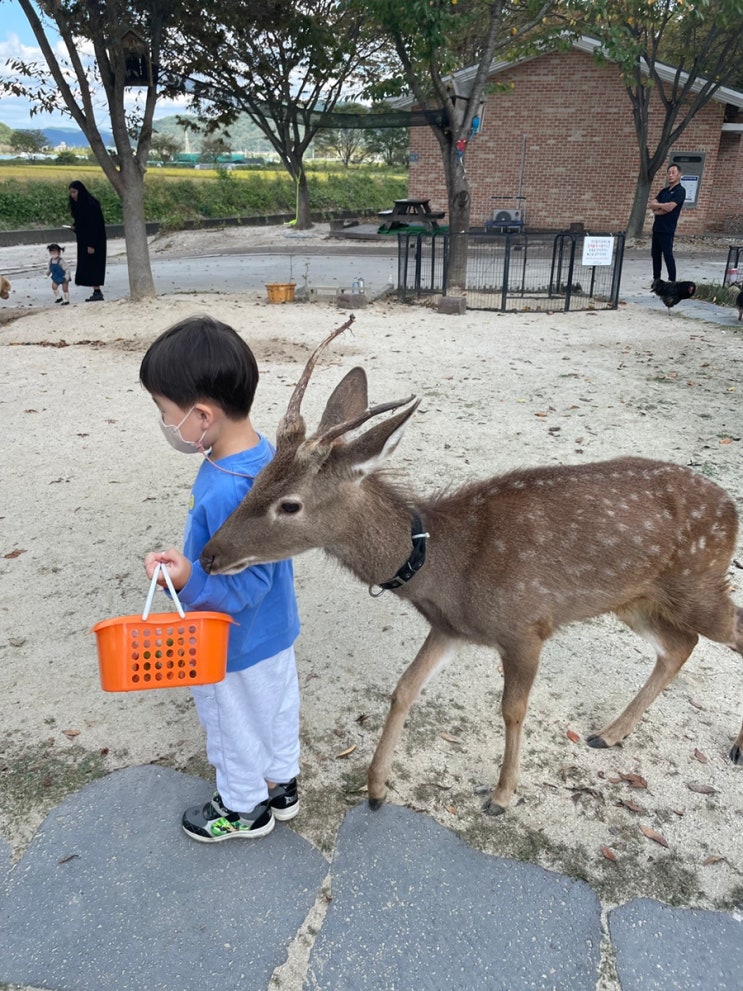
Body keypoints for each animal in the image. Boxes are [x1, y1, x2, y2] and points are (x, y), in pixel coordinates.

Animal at [199, 322, 743, 816]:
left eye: (289, 505)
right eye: (257, 477)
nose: (208, 555)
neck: (447, 567)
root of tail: (731, 508)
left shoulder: (526, 626)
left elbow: (512, 710)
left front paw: (502, 796)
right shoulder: (451, 629)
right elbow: (403, 690)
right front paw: (376, 788)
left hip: (699, 582)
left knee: (726, 631)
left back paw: (730, 745)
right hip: (635, 598)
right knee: (679, 646)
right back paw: (609, 734)